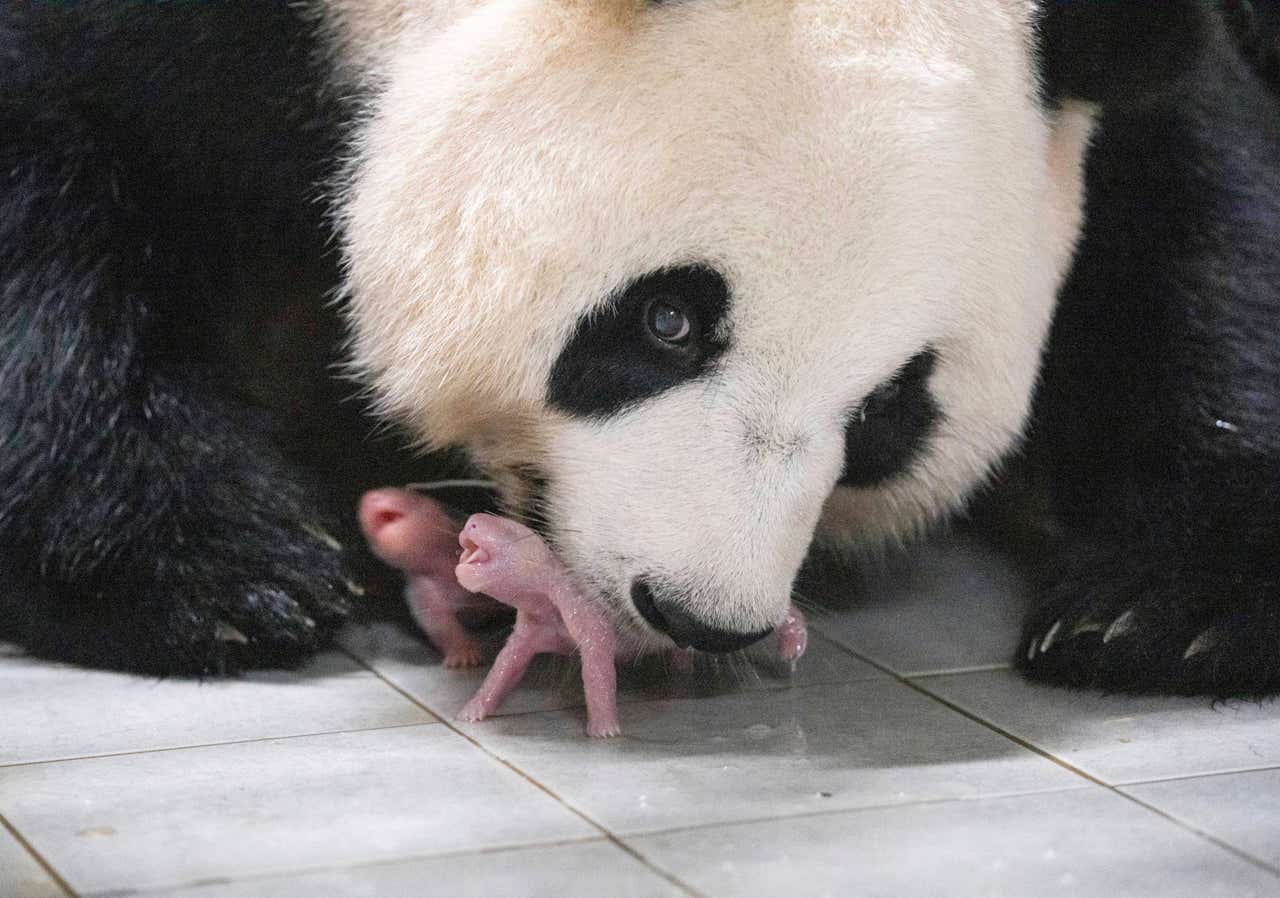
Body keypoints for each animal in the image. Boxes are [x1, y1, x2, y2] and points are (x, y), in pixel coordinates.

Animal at [2, 1, 1280, 695]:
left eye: (888, 413)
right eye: (668, 320)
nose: (698, 614)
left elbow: (1198, 219)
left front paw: (1164, 607)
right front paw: (215, 570)